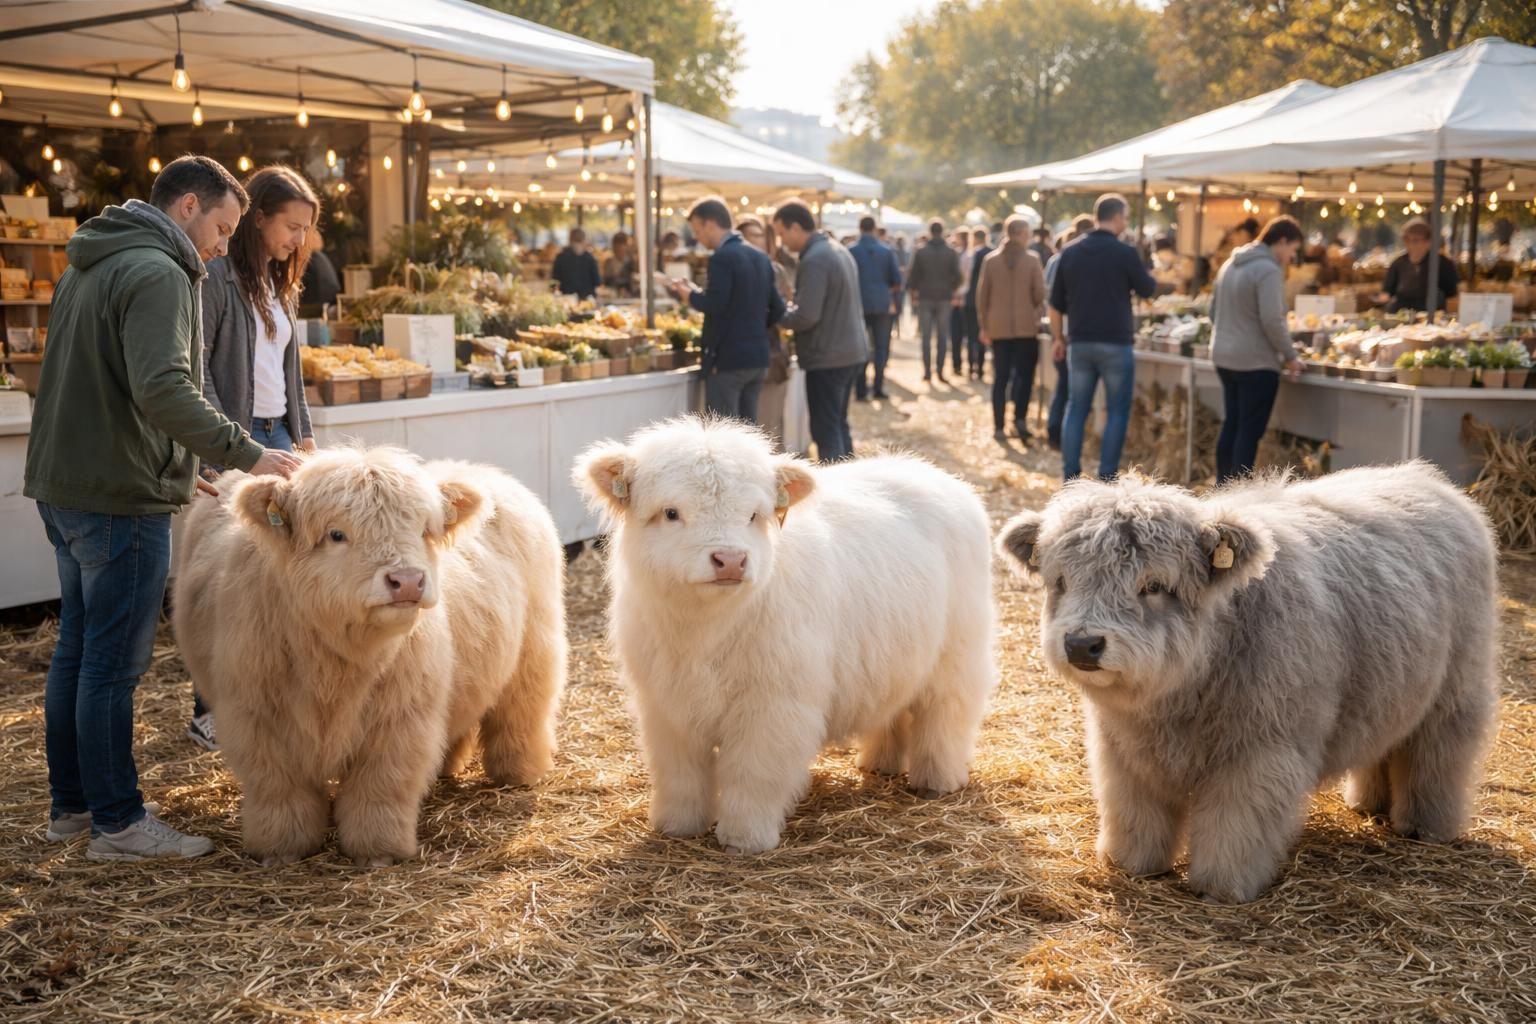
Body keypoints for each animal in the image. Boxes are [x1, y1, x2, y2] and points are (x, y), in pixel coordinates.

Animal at [173, 448, 566, 866]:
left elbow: (379, 787)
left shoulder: (400, 721)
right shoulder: (258, 720)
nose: (407, 581)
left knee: (521, 713)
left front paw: (378, 852)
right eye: (336, 534)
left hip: (534, 652)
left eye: (424, 531)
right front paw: (283, 850)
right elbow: (279, 788)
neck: (335, 664)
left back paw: (519, 772)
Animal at [574, 416, 996, 855]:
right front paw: (677, 826)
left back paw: (938, 780)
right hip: (896, 659)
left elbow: (753, 774)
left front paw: (745, 838)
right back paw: (881, 762)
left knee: (947, 714)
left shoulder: (773, 708)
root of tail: (928, 472)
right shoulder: (666, 708)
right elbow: (680, 774)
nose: (731, 560)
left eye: (753, 514)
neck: (704, 631)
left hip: (958, 655)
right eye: (671, 512)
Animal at [997, 462, 1499, 902]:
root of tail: (1429, 481)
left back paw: (1426, 825)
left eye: (1154, 585)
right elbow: (1135, 815)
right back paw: (1368, 804)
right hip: (1389, 691)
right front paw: (1131, 864)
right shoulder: (1123, 755)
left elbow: (1234, 827)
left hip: (1456, 692)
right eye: (1061, 581)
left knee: (1440, 754)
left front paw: (1221, 887)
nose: (1082, 644)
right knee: (1385, 745)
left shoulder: (1259, 756)